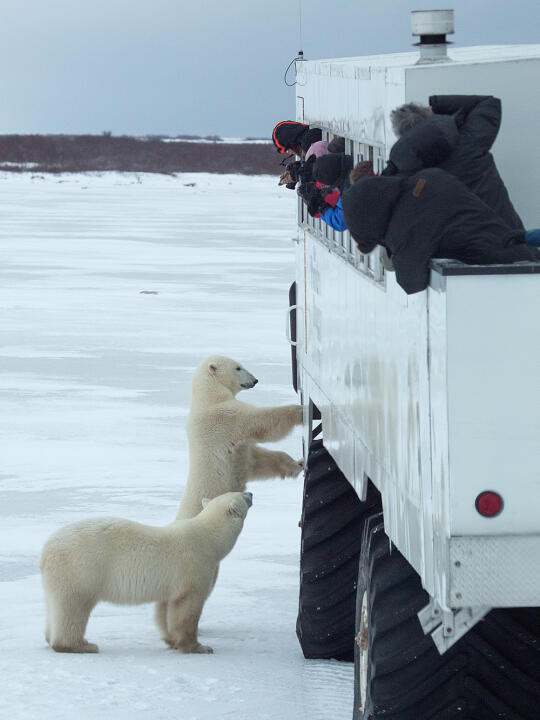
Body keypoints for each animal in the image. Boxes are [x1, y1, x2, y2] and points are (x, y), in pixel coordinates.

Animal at [40, 492, 253, 656]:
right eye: (241, 494)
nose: (251, 493)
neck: (209, 539)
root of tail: (46, 549)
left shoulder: (170, 582)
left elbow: (165, 609)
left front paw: (171, 640)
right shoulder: (194, 567)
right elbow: (187, 609)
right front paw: (199, 647)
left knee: (56, 606)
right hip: (81, 569)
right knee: (74, 607)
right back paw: (82, 645)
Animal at [177, 352, 304, 516]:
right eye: (238, 367)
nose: (255, 380)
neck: (209, 396)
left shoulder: (240, 451)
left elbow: (257, 459)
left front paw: (297, 463)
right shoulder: (224, 417)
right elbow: (259, 421)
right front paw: (298, 411)